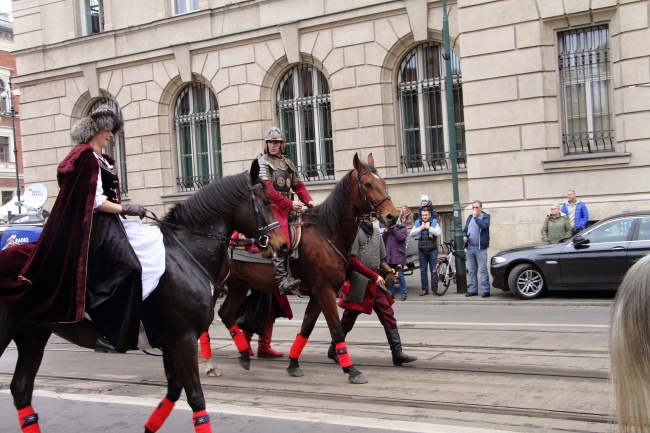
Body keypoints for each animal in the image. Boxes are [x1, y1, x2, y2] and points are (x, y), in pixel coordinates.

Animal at [0, 159, 284, 432]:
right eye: (265, 201)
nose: (281, 245)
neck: (185, 254)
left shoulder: (171, 342)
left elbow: (173, 392)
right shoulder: (183, 340)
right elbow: (196, 400)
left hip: (33, 334)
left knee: (21, 389)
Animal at [218, 154, 398, 384]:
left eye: (383, 182)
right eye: (367, 184)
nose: (393, 216)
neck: (327, 232)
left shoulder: (318, 295)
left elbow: (306, 328)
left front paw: (293, 364)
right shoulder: (325, 292)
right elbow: (337, 330)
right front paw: (351, 370)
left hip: (238, 285)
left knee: (225, 314)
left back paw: (241, 355)